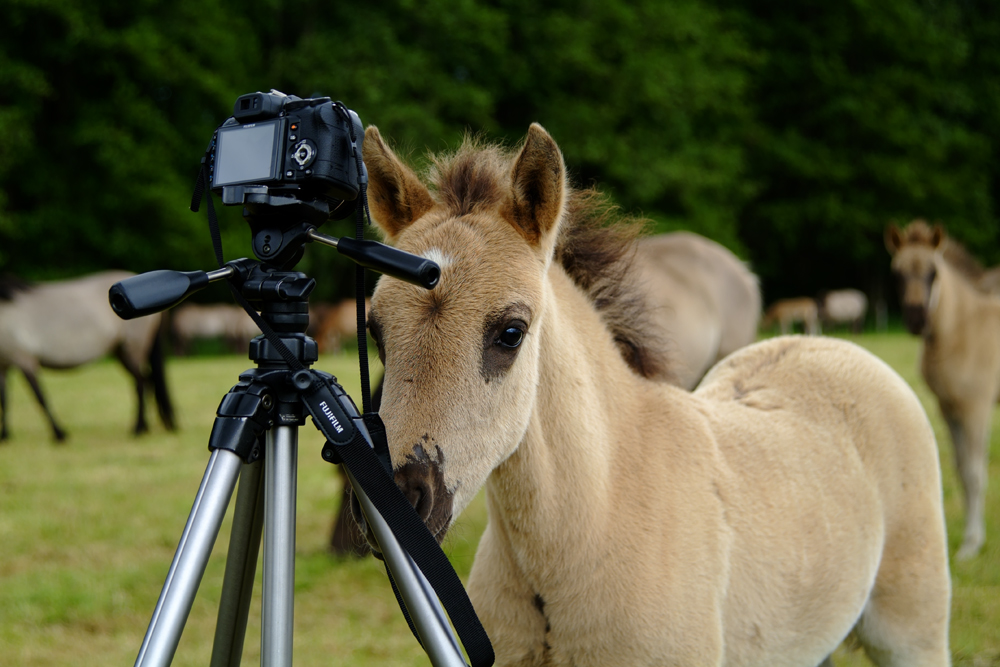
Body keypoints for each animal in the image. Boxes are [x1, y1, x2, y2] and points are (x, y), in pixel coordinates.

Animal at [0, 272, 176, 444]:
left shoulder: (25, 360)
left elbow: (40, 398)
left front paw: (59, 434)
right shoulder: (4, 366)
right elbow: (5, 400)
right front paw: (5, 435)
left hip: (132, 350)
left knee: (140, 383)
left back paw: (138, 429)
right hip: (120, 352)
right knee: (147, 382)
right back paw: (145, 427)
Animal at [888, 219, 1000, 560]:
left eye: (933, 272)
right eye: (897, 273)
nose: (915, 318)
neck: (962, 332)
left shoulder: (976, 408)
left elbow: (975, 474)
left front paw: (971, 544)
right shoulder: (949, 409)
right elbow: (962, 470)